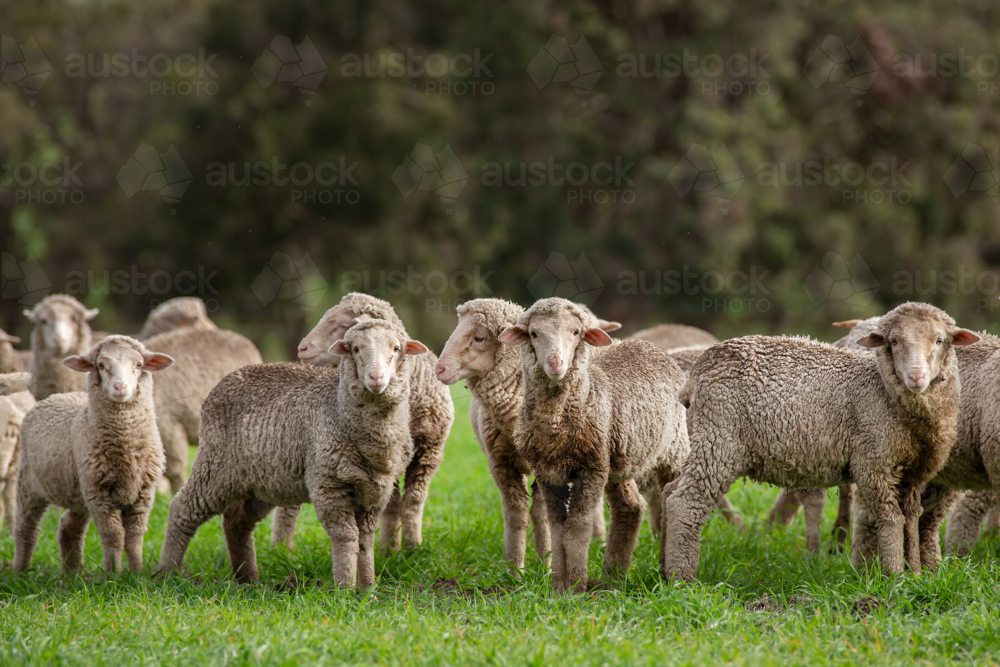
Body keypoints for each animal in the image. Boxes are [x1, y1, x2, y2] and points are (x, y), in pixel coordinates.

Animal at [13, 336, 174, 573]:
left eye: (139, 364)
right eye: (101, 365)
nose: (120, 387)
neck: (126, 450)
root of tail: (57, 396)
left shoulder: (143, 492)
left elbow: (135, 536)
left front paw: (137, 573)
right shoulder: (99, 493)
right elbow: (113, 534)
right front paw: (113, 574)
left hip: (79, 493)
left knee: (68, 527)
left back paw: (72, 575)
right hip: (29, 484)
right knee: (26, 529)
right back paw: (20, 571)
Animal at [158, 319, 425, 588]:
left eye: (396, 348)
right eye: (356, 349)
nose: (376, 377)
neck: (339, 411)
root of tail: (227, 379)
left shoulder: (375, 491)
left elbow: (365, 540)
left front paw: (367, 587)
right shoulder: (328, 485)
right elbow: (346, 536)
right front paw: (344, 587)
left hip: (260, 482)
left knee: (236, 520)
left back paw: (247, 579)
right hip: (216, 467)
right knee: (183, 508)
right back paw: (167, 573)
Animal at [283, 292, 454, 553]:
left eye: (344, 325)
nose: (302, 348)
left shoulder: (428, 453)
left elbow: (413, 501)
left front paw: (413, 547)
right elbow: (392, 504)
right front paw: (389, 549)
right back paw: (281, 548)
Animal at [498, 298, 691, 592]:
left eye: (576, 332)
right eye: (533, 334)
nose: (556, 364)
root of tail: (649, 346)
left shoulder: (590, 469)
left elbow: (578, 526)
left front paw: (577, 585)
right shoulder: (548, 471)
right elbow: (557, 527)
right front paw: (558, 586)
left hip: (673, 450)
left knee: (671, 500)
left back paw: (665, 570)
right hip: (616, 459)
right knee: (631, 506)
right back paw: (614, 576)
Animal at [661, 302, 979, 582]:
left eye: (939, 340)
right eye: (893, 341)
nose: (916, 377)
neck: (882, 390)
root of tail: (696, 373)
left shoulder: (915, 474)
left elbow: (911, 520)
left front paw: (915, 574)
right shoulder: (874, 463)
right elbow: (891, 520)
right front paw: (895, 577)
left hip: (705, 439)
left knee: (669, 491)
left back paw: (663, 567)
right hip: (719, 439)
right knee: (686, 501)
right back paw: (682, 578)